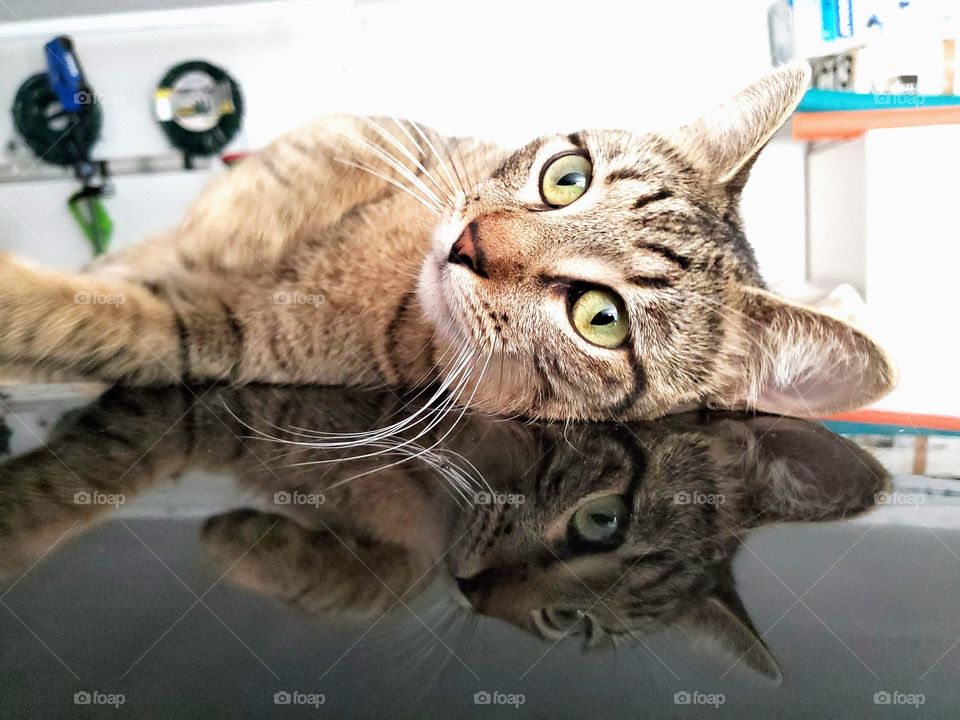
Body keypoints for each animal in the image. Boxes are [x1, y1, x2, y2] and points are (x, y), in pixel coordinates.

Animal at [0, 63, 892, 422]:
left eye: (601, 319)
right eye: (567, 176)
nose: (472, 241)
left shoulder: (209, 332)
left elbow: (79, 315)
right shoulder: (385, 141)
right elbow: (311, 159)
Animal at [0, 386, 884, 676]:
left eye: (572, 624)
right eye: (601, 521)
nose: (474, 593)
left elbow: (388, 580)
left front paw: (245, 543)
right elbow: (82, 472)